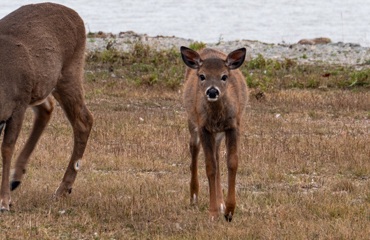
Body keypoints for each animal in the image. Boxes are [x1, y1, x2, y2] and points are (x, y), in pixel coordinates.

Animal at [0, 2, 92, 211]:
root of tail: (75, 14)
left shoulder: (18, 103)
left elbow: (7, 147)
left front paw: (4, 201)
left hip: (68, 73)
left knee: (84, 120)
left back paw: (62, 190)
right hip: (43, 85)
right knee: (47, 107)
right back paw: (17, 177)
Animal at [180, 45, 247, 221]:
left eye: (224, 76)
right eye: (202, 76)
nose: (212, 91)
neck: (217, 116)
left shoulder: (233, 125)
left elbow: (232, 163)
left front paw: (229, 211)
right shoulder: (204, 127)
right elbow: (210, 167)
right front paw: (213, 213)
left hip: (218, 134)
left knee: (217, 156)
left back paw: (221, 203)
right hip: (193, 122)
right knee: (194, 149)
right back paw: (194, 198)